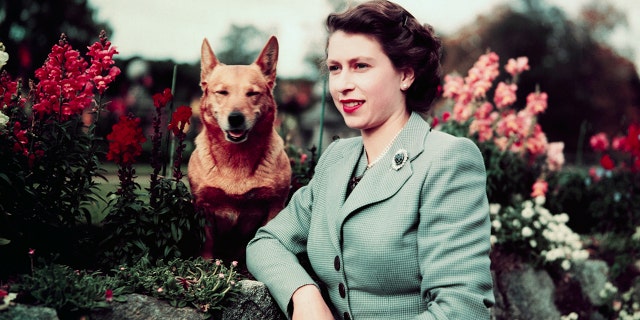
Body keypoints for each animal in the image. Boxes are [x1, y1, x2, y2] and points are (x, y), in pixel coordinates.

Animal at [189, 37, 292, 262]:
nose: (235, 118)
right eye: (222, 92)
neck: (236, 157)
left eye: (252, 93)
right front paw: (206, 265)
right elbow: (207, 244)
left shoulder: (274, 206)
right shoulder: (203, 207)